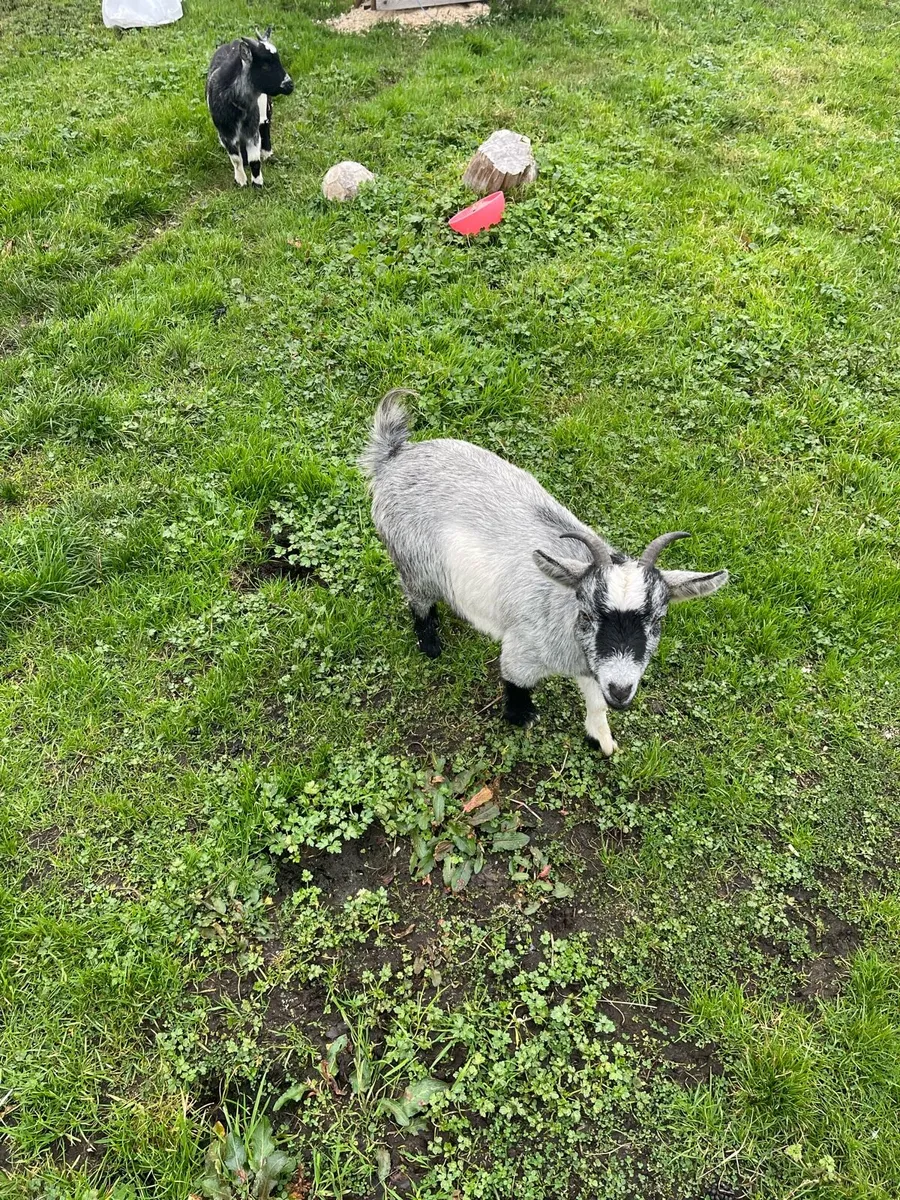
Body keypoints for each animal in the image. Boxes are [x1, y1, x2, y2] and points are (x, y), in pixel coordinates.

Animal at [206, 27, 293, 188]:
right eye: (265, 66)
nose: (289, 85)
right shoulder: (226, 133)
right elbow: (236, 159)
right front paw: (241, 180)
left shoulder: (252, 130)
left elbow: (255, 161)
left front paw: (257, 183)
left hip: (266, 107)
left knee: (265, 125)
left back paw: (266, 152)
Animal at [361, 392, 728, 755]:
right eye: (586, 615)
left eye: (657, 621)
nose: (622, 691)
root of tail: (393, 458)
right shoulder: (523, 649)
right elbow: (515, 680)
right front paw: (520, 716)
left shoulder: (593, 667)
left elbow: (597, 701)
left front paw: (602, 739)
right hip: (414, 563)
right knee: (418, 601)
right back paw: (431, 644)